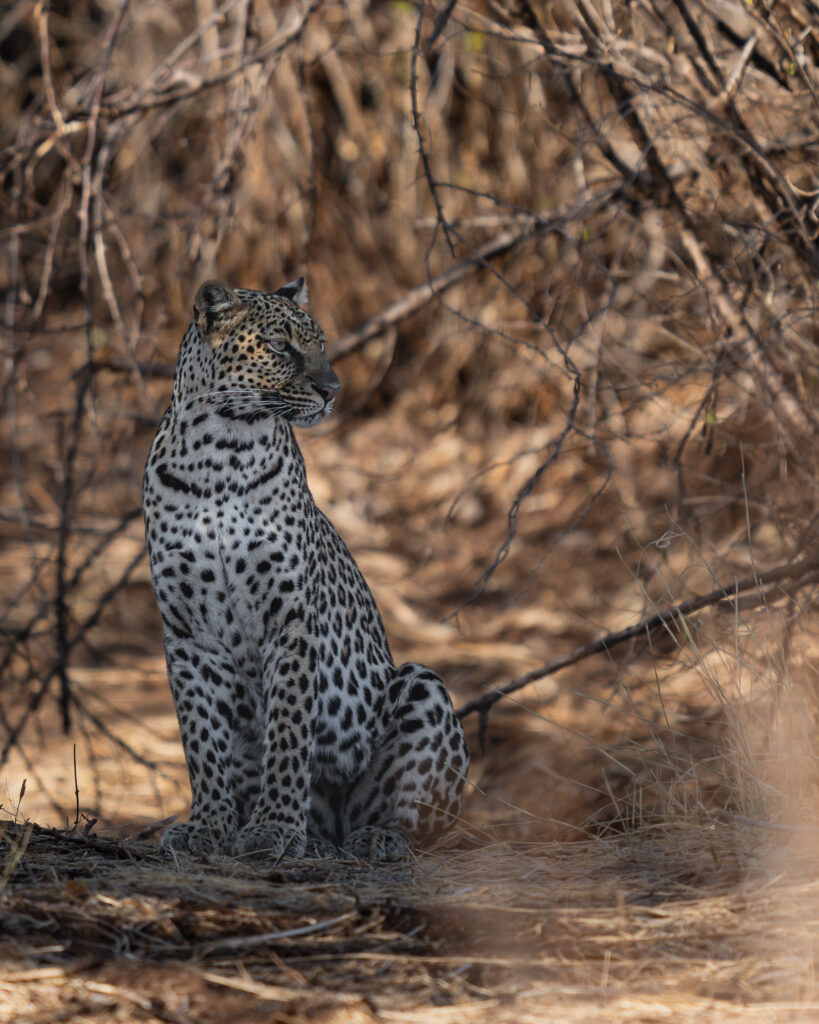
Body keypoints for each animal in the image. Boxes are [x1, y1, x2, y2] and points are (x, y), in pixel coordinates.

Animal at [143, 276, 469, 861]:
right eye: (280, 346)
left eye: (320, 345)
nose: (333, 389)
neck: (220, 453)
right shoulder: (187, 632)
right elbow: (200, 739)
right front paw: (208, 826)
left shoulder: (290, 618)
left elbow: (291, 730)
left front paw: (274, 826)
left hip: (420, 685)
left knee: (421, 825)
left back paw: (376, 837)